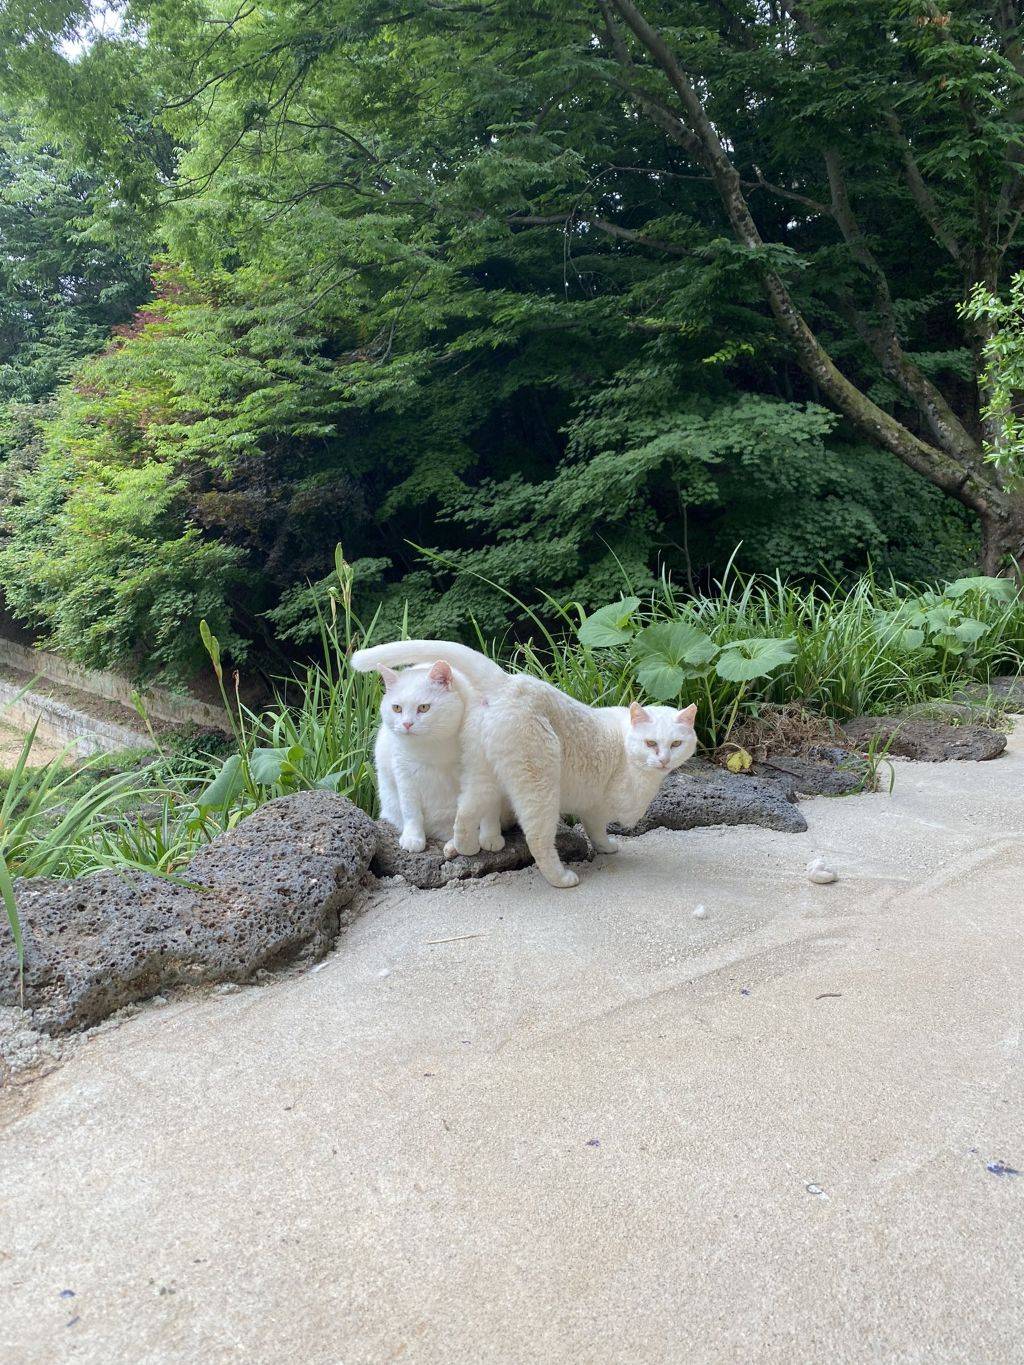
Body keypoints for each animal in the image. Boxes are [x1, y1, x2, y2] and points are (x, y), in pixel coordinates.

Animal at [352, 644, 699, 889]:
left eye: (676, 744)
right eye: (651, 743)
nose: (664, 759)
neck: (625, 742)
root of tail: (509, 682)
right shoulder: (596, 806)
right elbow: (596, 830)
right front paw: (606, 847)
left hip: (483, 776)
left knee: (465, 812)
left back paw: (465, 846)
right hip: (539, 785)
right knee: (538, 839)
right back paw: (561, 878)